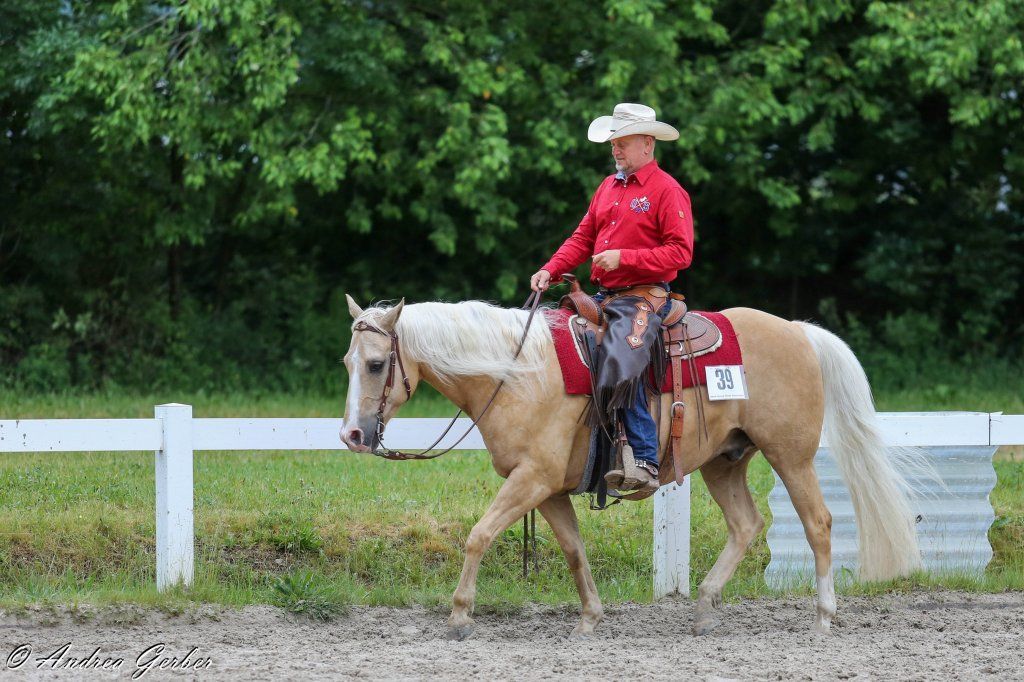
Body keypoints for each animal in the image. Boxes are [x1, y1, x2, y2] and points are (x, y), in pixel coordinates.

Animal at [339, 295, 922, 639]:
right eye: (348, 362)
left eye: (377, 364)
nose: (352, 435)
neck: (517, 372)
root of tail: (799, 331)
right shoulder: (549, 489)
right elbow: (574, 551)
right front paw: (590, 619)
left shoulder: (532, 479)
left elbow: (479, 535)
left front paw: (460, 614)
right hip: (724, 462)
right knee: (746, 524)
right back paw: (704, 606)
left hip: (791, 455)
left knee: (818, 524)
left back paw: (824, 616)